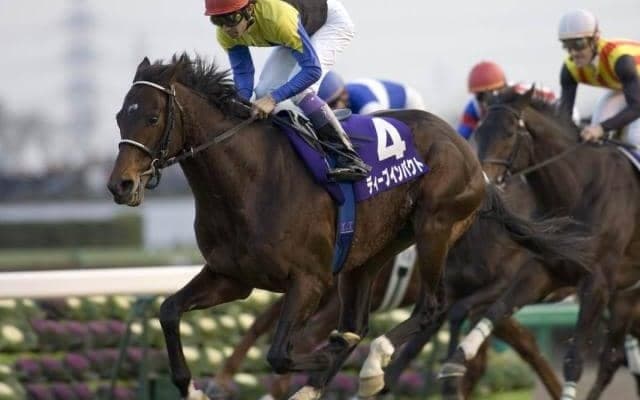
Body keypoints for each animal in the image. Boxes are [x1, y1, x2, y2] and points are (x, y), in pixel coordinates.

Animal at [106, 54, 591, 400]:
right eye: (119, 116)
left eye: (151, 118)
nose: (120, 184)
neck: (251, 180)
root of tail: (470, 158)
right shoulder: (232, 277)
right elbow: (170, 311)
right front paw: (195, 387)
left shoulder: (311, 281)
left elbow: (283, 353)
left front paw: (323, 369)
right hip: (367, 260)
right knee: (372, 324)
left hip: (436, 228)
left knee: (431, 310)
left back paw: (375, 366)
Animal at [439, 87, 640, 400]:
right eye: (479, 131)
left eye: (510, 133)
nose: (482, 186)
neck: (580, 191)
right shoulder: (544, 271)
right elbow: (496, 311)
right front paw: (456, 362)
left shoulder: (597, 283)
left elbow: (573, 360)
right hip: (626, 298)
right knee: (613, 358)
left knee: (610, 359)